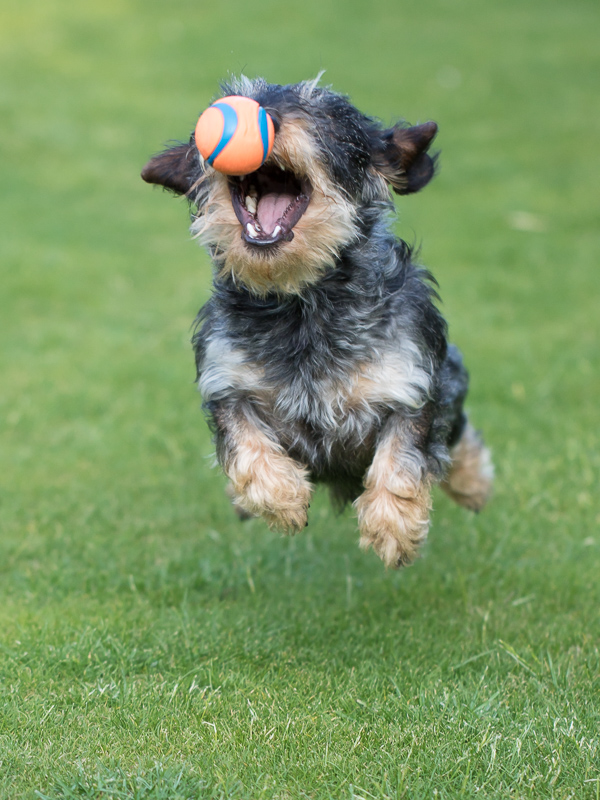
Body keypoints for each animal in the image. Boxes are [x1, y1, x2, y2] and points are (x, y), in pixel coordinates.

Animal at [142, 73, 492, 564]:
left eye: (329, 116)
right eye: (235, 99)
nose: (263, 115)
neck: (301, 302)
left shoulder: (411, 383)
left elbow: (403, 456)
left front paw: (393, 528)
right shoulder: (228, 382)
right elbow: (245, 445)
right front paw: (281, 499)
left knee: (458, 436)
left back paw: (473, 485)